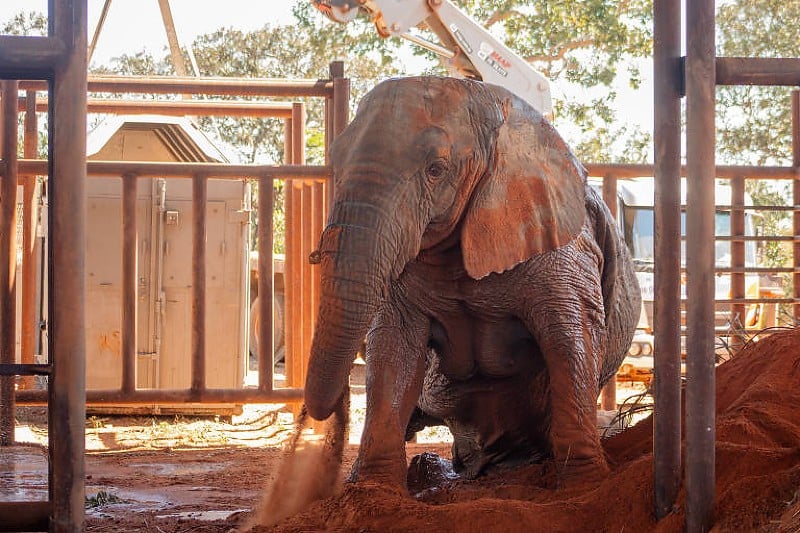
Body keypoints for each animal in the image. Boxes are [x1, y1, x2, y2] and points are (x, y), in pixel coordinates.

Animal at [304, 76, 641, 489]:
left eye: (436, 169)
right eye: (335, 160)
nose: (332, 409)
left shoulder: (562, 240)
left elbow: (568, 336)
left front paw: (585, 483)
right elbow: (395, 348)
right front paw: (370, 489)